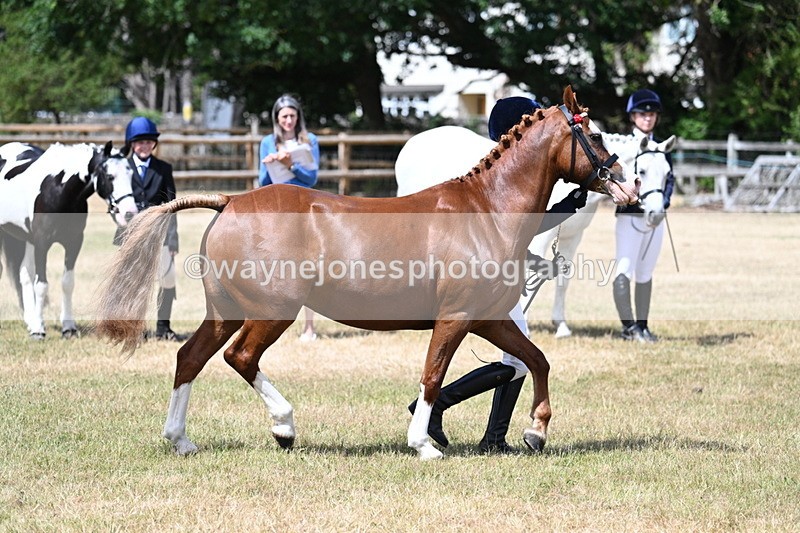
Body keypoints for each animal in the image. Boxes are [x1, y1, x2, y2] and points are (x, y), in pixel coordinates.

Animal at [0, 141, 137, 339]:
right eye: (110, 176)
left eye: (131, 174)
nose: (130, 213)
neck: (58, 190)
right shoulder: (42, 243)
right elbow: (41, 285)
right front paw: (39, 330)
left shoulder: (74, 242)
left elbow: (67, 283)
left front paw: (68, 328)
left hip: (27, 240)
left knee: (24, 274)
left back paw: (30, 320)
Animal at [95, 86, 639, 460]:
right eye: (594, 135)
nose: (629, 187)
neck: (486, 211)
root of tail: (230, 200)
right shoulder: (456, 318)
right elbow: (433, 375)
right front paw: (424, 444)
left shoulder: (489, 318)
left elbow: (535, 361)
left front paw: (534, 431)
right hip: (272, 312)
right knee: (240, 357)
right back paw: (284, 427)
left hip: (226, 311)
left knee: (190, 357)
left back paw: (180, 439)